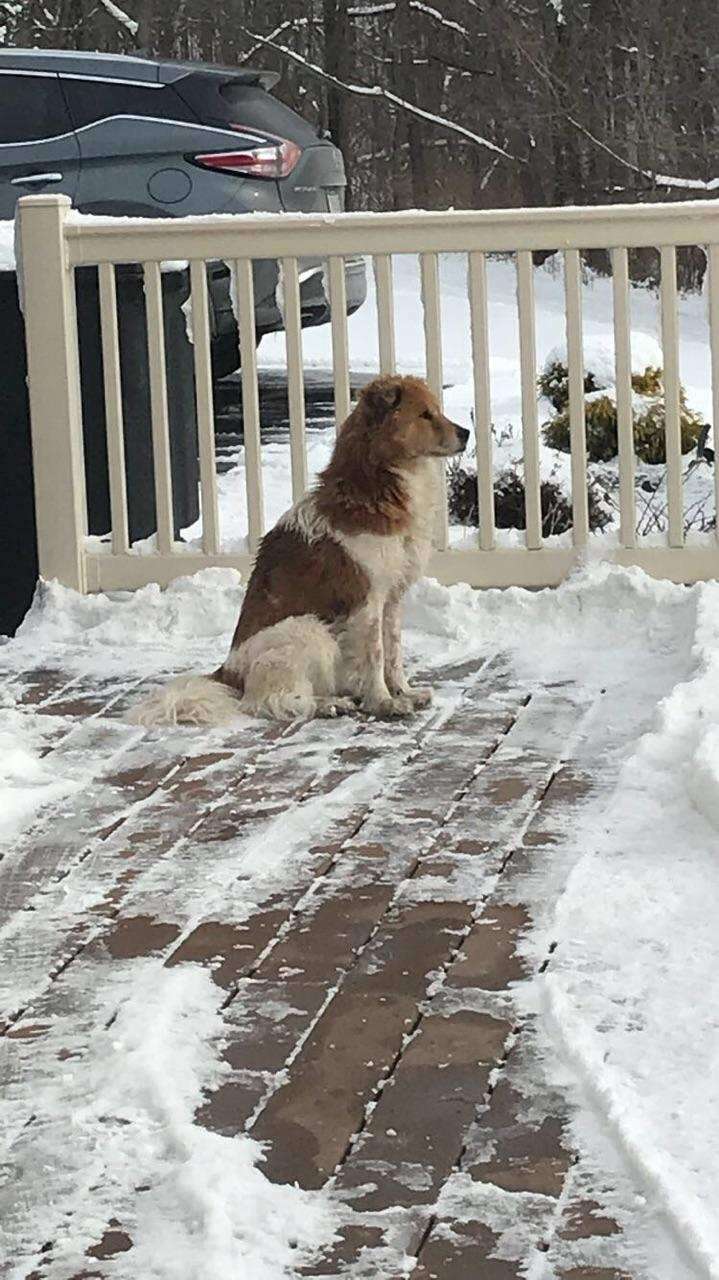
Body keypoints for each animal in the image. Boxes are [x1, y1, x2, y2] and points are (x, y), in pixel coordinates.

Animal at [131, 373, 468, 727]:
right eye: (425, 415)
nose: (466, 433)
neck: (376, 485)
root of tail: (229, 674)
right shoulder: (368, 601)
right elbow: (375, 656)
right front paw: (384, 702)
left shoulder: (392, 599)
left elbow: (394, 652)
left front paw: (403, 691)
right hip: (307, 629)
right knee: (268, 702)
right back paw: (329, 704)